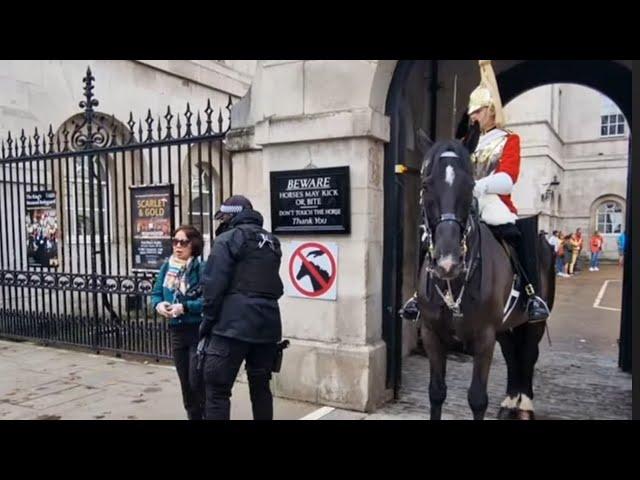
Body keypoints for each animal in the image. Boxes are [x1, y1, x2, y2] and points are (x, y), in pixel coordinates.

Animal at [416, 132, 556, 420]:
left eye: (471, 185)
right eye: (425, 185)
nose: (448, 262)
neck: (453, 285)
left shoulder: (484, 337)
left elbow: (477, 399)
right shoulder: (432, 334)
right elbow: (436, 393)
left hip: (532, 322)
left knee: (528, 354)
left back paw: (523, 405)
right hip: (505, 326)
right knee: (513, 354)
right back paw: (510, 402)